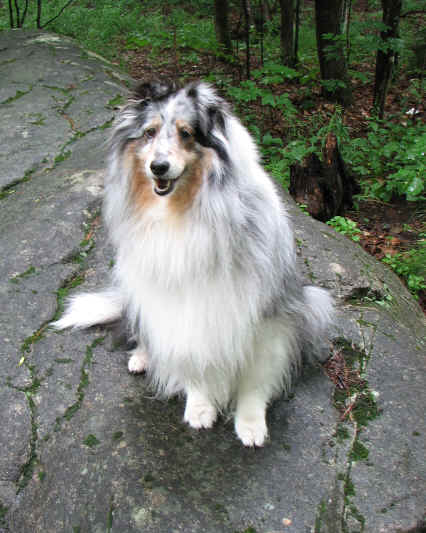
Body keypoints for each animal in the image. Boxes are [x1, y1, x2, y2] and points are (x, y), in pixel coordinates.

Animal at [53, 80, 332, 444]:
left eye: (186, 133)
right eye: (150, 132)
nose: (158, 167)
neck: (184, 211)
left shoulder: (267, 315)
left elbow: (255, 376)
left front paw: (251, 422)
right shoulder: (182, 307)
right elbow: (191, 357)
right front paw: (200, 408)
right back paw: (142, 357)